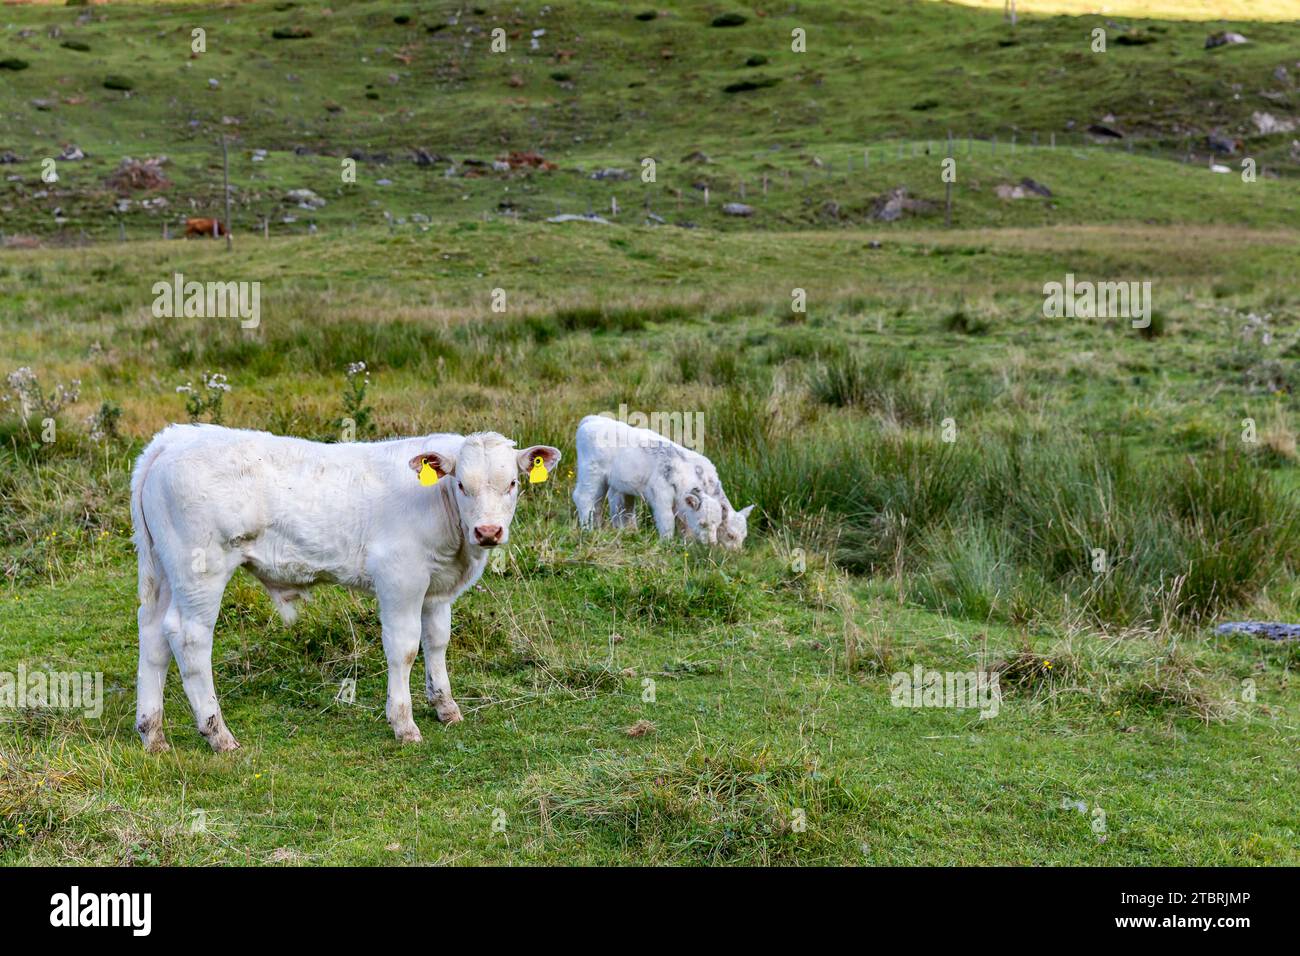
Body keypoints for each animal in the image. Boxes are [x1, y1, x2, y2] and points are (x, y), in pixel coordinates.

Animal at [131, 421, 559, 749]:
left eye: (512, 483)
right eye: (461, 486)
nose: (488, 531)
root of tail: (174, 438)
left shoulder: (436, 588)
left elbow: (437, 641)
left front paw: (446, 708)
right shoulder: (400, 577)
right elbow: (404, 648)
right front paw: (403, 724)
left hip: (165, 571)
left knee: (153, 635)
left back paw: (153, 733)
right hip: (201, 569)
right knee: (189, 638)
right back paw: (218, 734)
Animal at [569, 416, 754, 546]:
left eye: (743, 536)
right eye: (730, 534)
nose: (712, 543)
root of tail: (590, 420)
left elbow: (684, 526)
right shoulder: (661, 494)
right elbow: (667, 520)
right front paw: (667, 542)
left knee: (600, 504)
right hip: (591, 473)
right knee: (583, 497)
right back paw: (587, 529)